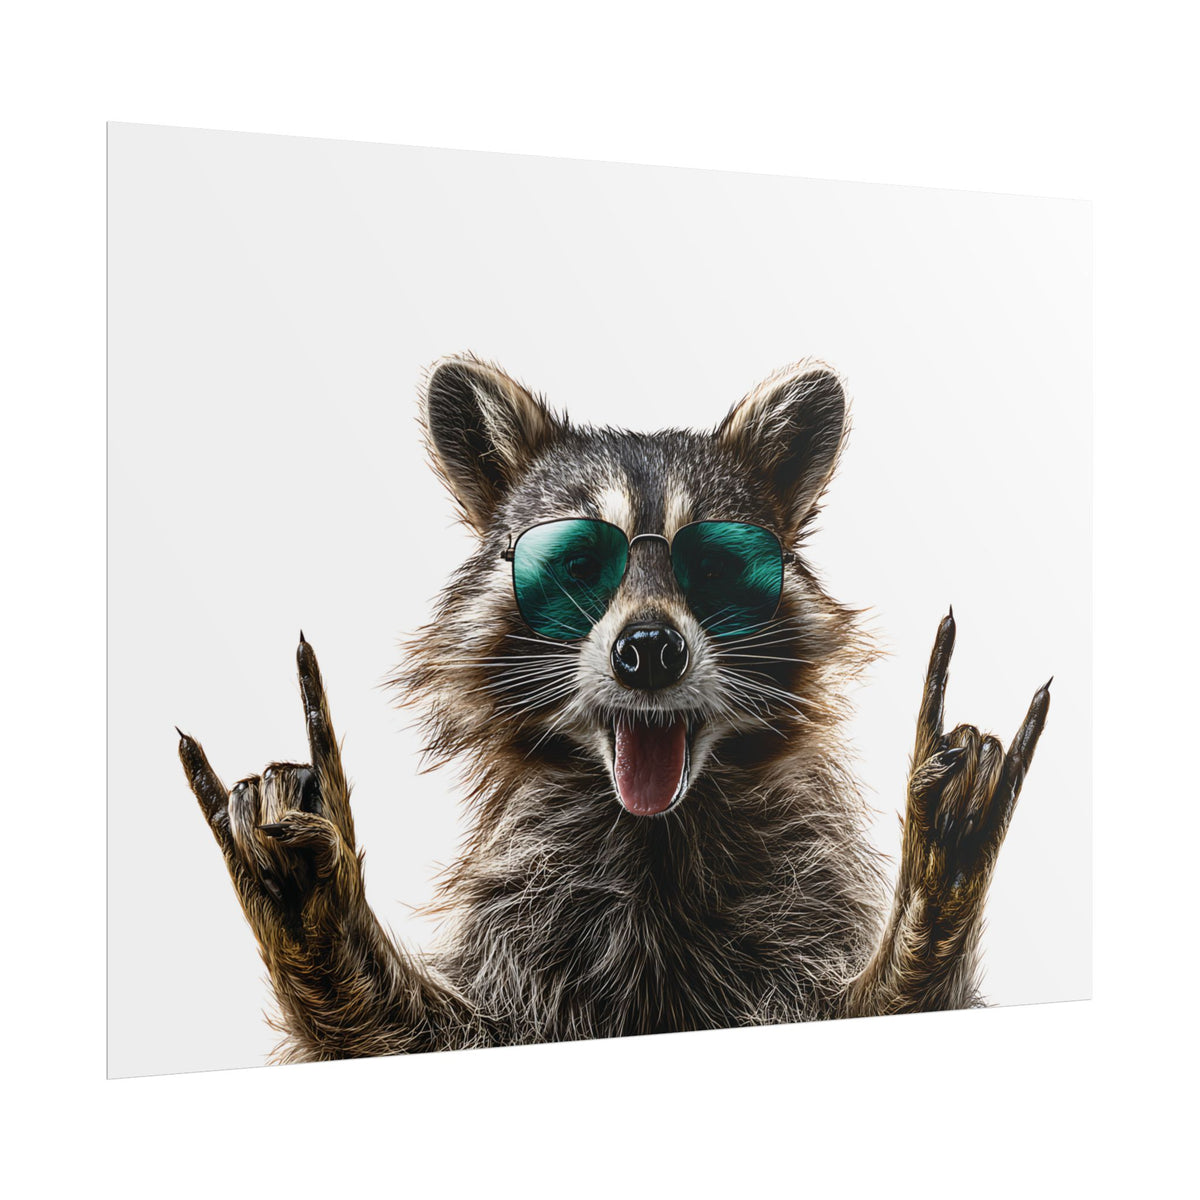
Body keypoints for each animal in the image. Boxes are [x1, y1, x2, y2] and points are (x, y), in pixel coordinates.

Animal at [178, 354, 1050, 1061]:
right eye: (577, 562)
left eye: (715, 564)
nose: (651, 649)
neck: (651, 837)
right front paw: (316, 916)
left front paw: (929, 916)